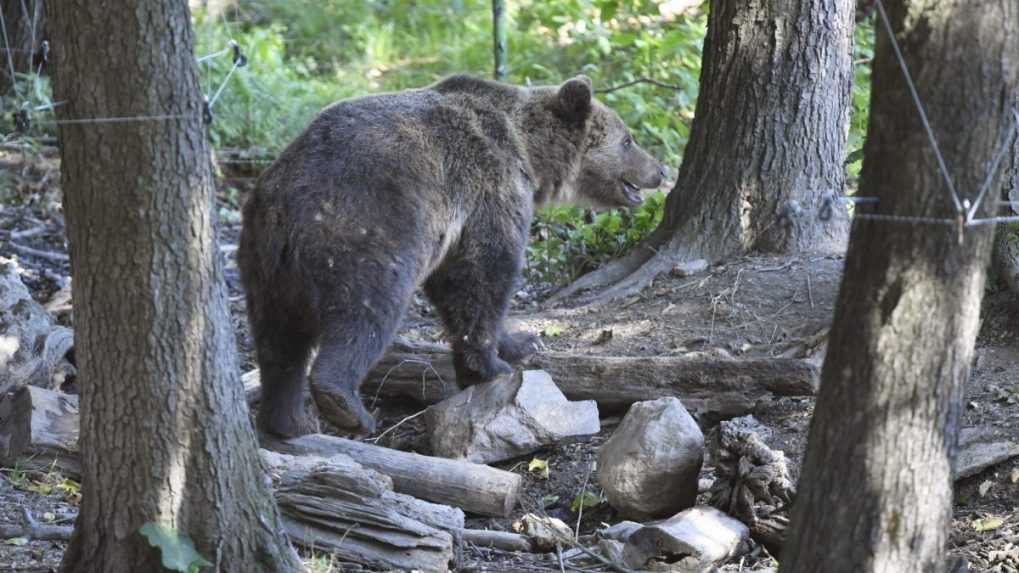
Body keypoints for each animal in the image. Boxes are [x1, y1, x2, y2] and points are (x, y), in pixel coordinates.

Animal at [238, 73, 668, 434]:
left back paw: (287, 420)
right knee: (366, 311)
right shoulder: (488, 189)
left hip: (265, 265)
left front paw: (524, 343)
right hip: (363, 231)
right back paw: (345, 403)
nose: (660, 169)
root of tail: (283, 200)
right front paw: (490, 366)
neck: (529, 153)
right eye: (628, 139)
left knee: (279, 344)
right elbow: (481, 277)